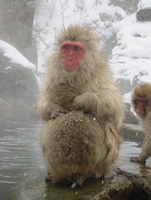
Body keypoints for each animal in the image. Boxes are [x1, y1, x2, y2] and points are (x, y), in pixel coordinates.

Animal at [38, 25, 124, 186]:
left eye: (77, 48)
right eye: (66, 47)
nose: (69, 58)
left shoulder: (99, 73)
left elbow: (114, 108)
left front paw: (84, 100)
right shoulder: (54, 72)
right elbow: (43, 102)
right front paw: (52, 108)